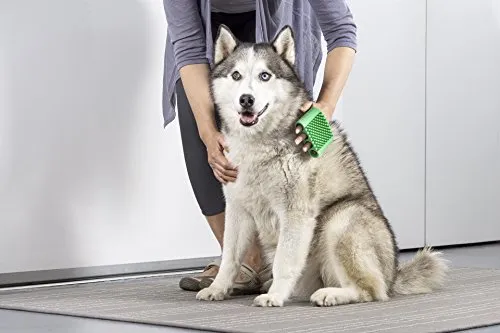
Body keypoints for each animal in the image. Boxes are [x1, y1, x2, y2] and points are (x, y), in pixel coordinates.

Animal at [196, 25, 450, 306]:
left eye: (265, 76)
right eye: (236, 75)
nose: (246, 100)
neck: (259, 144)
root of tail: (393, 275)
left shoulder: (295, 212)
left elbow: (284, 262)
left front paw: (274, 296)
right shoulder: (238, 210)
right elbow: (229, 258)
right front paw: (217, 288)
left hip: (341, 219)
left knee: (370, 290)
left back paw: (332, 294)